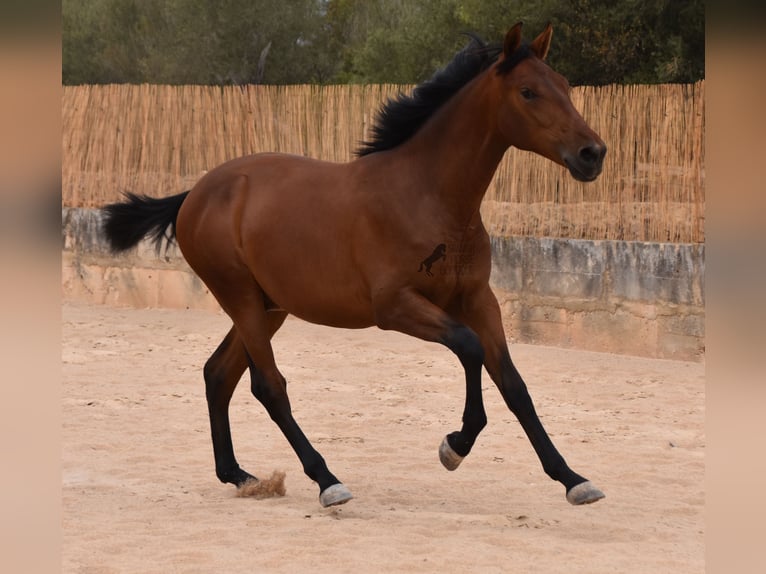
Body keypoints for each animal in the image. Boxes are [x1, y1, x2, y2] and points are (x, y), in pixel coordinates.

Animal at [102, 23, 608, 508]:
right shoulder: (395, 307)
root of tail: (195, 194)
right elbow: (469, 348)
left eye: (564, 85)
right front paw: (454, 446)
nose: (593, 153)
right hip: (241, 298)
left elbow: (514, 385)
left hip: (269, 307)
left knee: (218, 374)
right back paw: (327, 482)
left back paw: (241, 477)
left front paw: (573, 480)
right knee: (268, 386)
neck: (429, 196)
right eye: (528, 91)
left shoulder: (479, 300)